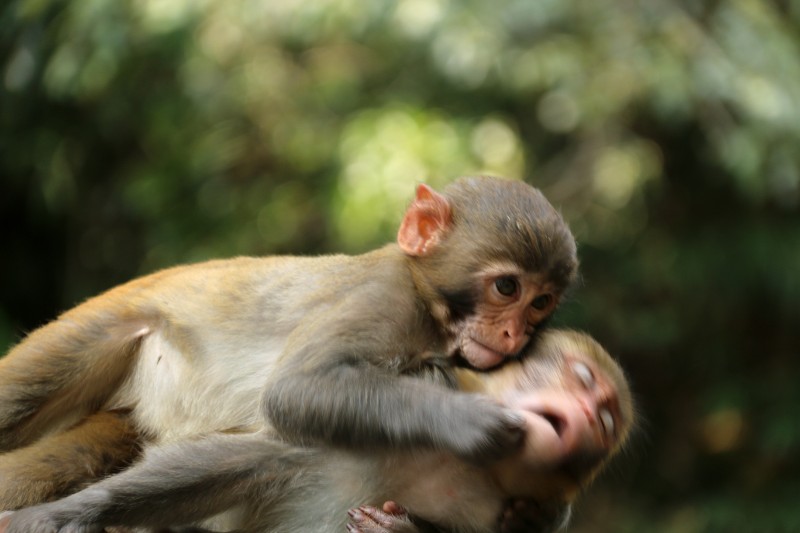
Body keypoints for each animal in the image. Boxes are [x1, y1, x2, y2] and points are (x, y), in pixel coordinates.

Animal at [0, 177, 576, 524]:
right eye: (507, 288)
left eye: (541, 302)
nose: (514, 335)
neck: (430, 309)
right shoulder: (386, 300)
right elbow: (294, 391)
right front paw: (468, 421)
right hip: (97, 332)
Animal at [1, 328, 636, 532]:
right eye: (582, 380)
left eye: (607, 422)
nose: (588, 420)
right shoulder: (369, 416)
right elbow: (250, 461)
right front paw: (71, 513)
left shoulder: (518, 512)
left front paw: (398, 529)